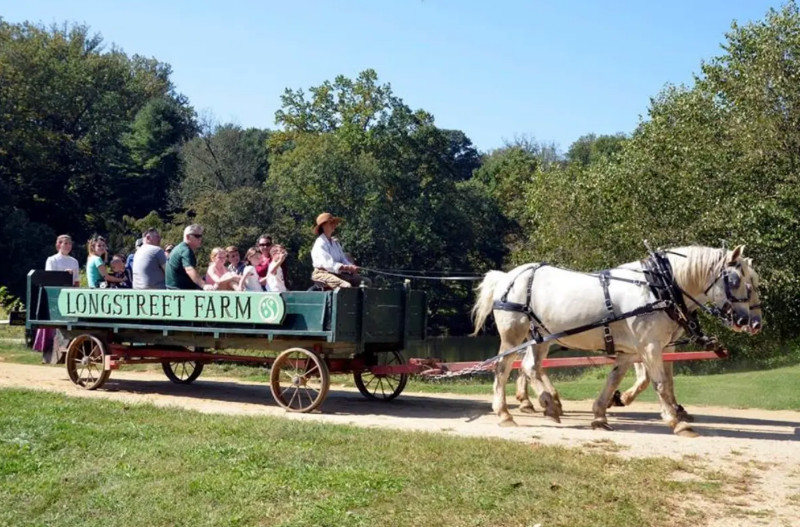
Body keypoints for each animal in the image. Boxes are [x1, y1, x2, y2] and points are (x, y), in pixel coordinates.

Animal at [476, 245, 756, 436]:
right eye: (736, 281)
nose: (752, 322)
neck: (658, 287)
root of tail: (506, 277)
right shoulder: (651, 346)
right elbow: (661, 383)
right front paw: (677, 422)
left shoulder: (632, 350)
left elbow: (615, 380)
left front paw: (602, 413)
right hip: (513, 335)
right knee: (503, 368)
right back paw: (506, 413)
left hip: (541, 337)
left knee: (529, 367)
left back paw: (550, 405)